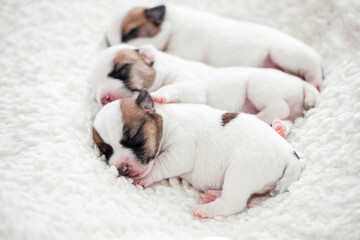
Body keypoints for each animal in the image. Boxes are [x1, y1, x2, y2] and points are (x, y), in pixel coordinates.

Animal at [89, 43, 318, 136]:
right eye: (95, 90)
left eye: (121, 69)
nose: (104, 98)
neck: (164, 68)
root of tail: (302, 84)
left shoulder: (190, 84)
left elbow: (175, 88)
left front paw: (159, 94)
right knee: (287, 118)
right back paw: (279, 128)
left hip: (259, 84)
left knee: (279, 107)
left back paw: (258, 117)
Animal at [93, 89, 304, 218]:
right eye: (105, 151)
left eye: (134, 136)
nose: (123, 168)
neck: (165, 119)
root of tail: (290, 155)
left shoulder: (180, 152)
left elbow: (160, 164)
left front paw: (144, 178)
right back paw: (213, 194)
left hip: (242, 170)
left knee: (234, 202)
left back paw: (205, 209)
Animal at [105, 3, 322, 88]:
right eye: (109, 42)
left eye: (131, 34)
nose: (113, 49)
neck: (172, 23)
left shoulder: (183, 47)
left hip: (282, 52)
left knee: (312, 71)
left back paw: (314, 82)